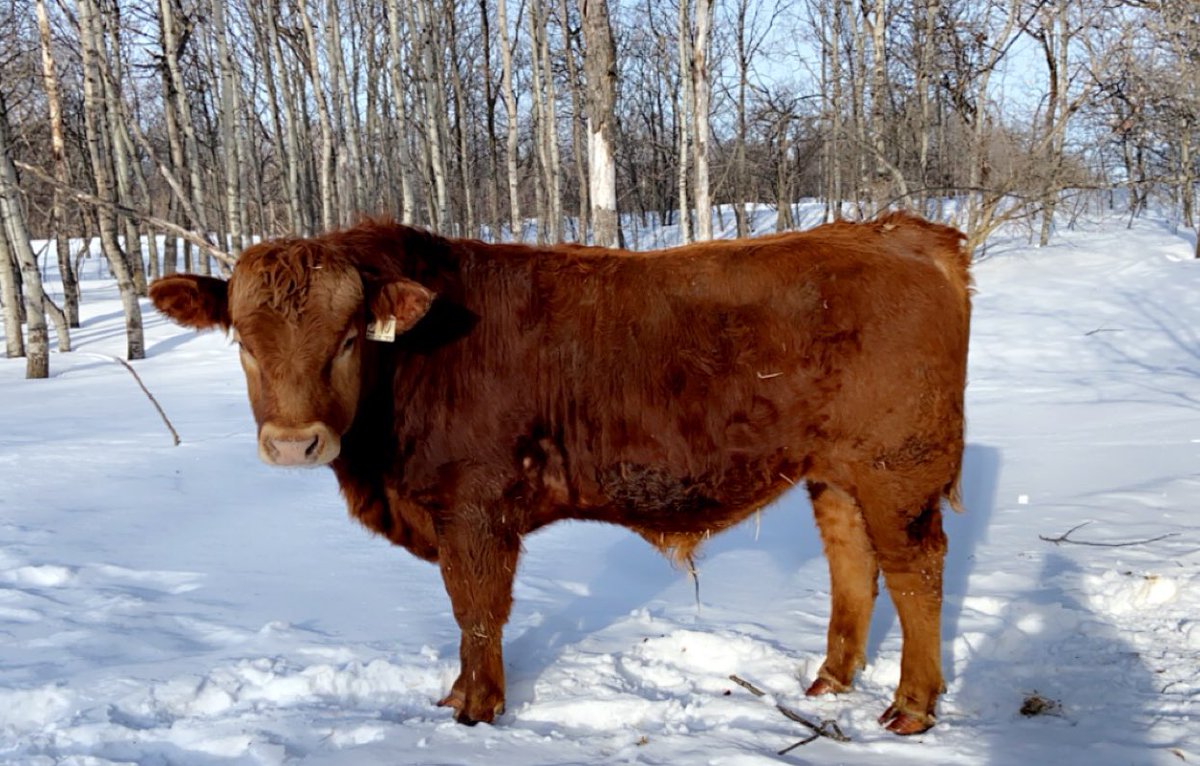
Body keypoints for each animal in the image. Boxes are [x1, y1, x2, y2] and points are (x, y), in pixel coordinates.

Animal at [149, 212, 971, 735]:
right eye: (244, 343)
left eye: (349, 338)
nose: (296, 443)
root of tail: (897, 230)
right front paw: (458, 695)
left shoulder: (473, 509)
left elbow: (476, 611)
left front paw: (477, 708)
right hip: (835, 473)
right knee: (852, 560)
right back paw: (831, 678)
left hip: (898, 469)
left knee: (917, 572)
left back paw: (911, 707)